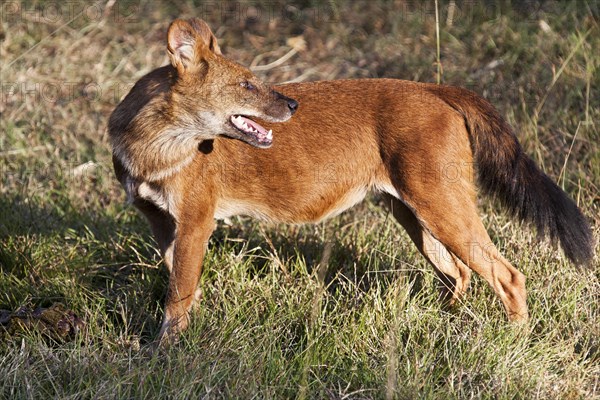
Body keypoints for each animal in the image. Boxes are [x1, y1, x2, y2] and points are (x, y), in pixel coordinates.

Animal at [109, 17, 596, 340]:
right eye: (246, 85)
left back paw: (513, 340)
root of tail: (434, 87)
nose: (291, 105)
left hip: (442, 209)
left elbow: (178, 294)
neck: (151, 145)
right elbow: (179, 285)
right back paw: (444, 322)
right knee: (458, 272)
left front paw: (167, 353)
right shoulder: (161, 222)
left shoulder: (196, 221)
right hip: (416, 214)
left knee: (507, 274)